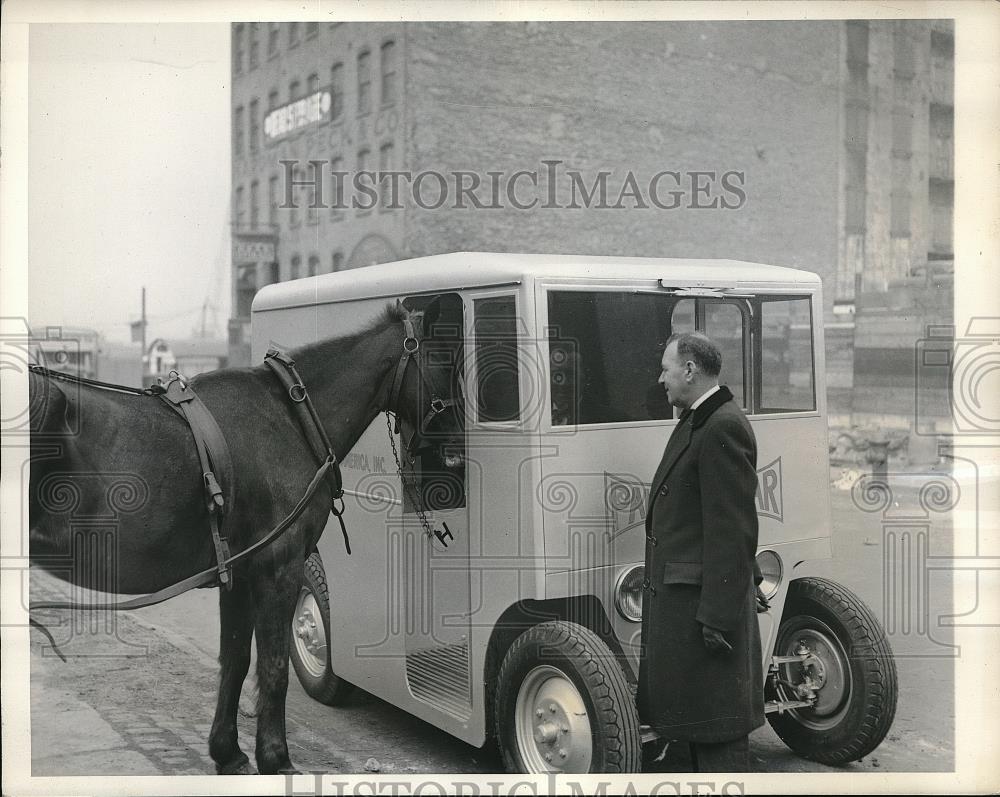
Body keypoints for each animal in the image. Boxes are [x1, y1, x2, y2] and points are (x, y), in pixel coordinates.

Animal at [27, 296, 462, 772]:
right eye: (443, 359)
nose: (456, 452)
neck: (290, 417)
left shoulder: (237, 573)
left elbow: (235, 659)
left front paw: (228, 751)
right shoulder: (279, 567)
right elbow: (273, 664)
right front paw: (276, 757)